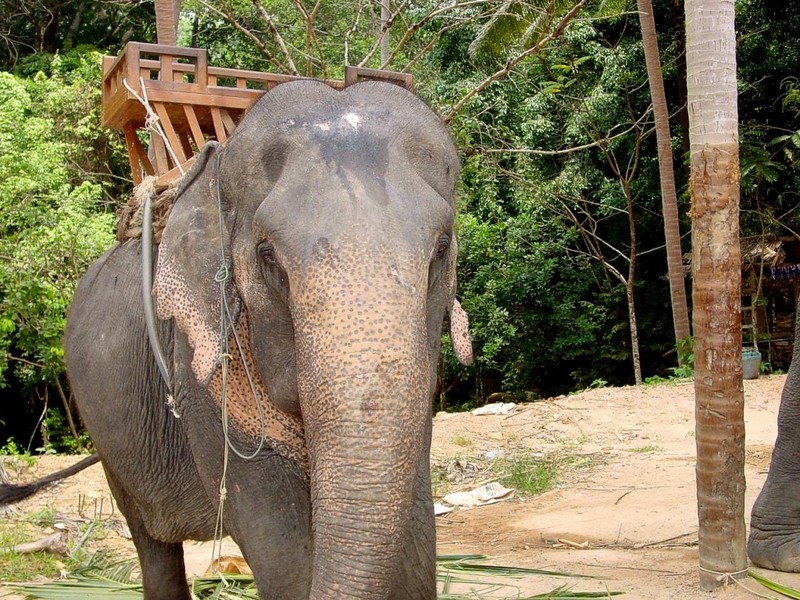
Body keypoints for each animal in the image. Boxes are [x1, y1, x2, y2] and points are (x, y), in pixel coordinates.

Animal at [67, 81, 476, 600]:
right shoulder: (200, 370)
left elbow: (416, 531)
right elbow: (281, 547)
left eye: (441, 247)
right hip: (106, 437)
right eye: (267, 255)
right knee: (151, 541)